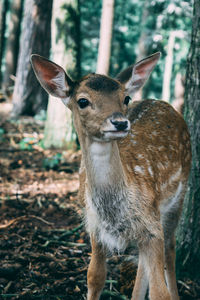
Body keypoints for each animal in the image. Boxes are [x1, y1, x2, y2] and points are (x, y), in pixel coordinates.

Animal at [30, 54, 191, 300]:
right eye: (82, 101)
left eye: (125, 98)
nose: (120, 122)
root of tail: (163, 103)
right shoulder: (94, 226)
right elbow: (94, 277)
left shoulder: (151, 223)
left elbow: (159, 292)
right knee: (144, 263)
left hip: (179, 194)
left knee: (170, 250)